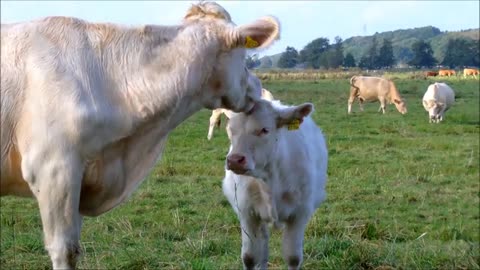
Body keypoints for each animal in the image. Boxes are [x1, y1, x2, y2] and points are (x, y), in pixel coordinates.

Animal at [223, 99, 328, 270]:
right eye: (230, 129)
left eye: (265, 130)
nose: (234, 160)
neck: (270, 181)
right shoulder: (247, 212)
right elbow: (250, 257)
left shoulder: (300, 214)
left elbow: (293, 257)